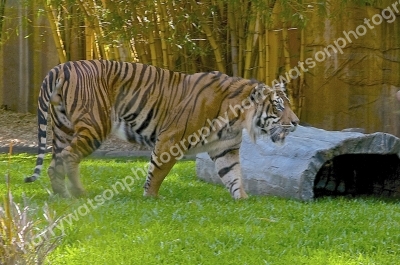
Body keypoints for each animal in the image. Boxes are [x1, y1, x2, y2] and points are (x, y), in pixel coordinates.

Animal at [25, 59, 298, 199]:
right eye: (279, 106)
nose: (296, 122)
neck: (238, 118)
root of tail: (61, 66)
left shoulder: (225, 149)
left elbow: (234, 175)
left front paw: (244, 200)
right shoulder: (171, 140)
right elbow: (157, 171)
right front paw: (150, 197)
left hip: (63, 129)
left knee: (54, 162)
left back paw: (61, 195)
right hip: (94, 126)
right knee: (69, 157)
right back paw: (79, 193)